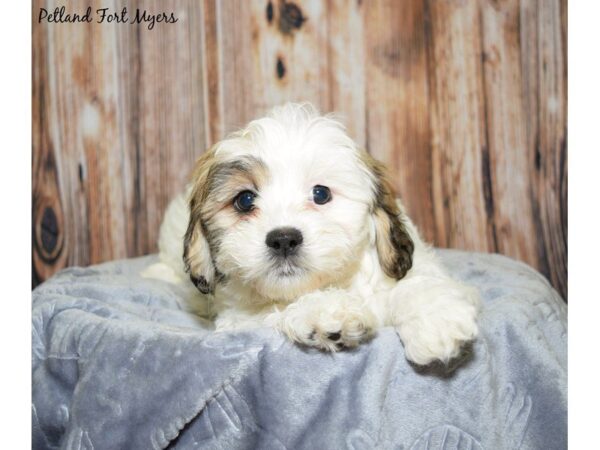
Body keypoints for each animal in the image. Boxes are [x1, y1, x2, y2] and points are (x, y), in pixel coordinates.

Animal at [144, 103, 478, 366]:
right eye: (245, 200)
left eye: (321, 194)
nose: (283, 239)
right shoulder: (239, 318)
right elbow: (275, 310)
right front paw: (325, 312)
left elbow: (417, 284)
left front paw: (437, 321)